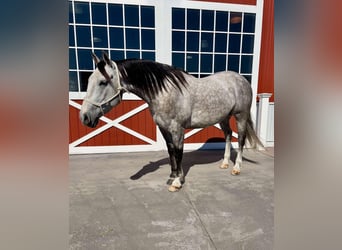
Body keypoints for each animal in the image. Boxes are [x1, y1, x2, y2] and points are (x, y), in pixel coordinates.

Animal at [79, 52, 262, 191]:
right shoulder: (164, 128)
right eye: (89, 80)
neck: (164, 92)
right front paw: (172, 176)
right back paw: (224, 163)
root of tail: (241, 79)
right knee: (228, 135)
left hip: (240, 115)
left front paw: (177, 182)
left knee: (241, 139)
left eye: (103, 82)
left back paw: (236, 168)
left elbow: (179, 152)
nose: (84, 117)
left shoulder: (177, 128)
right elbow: (171, 151)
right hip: (223, 117)